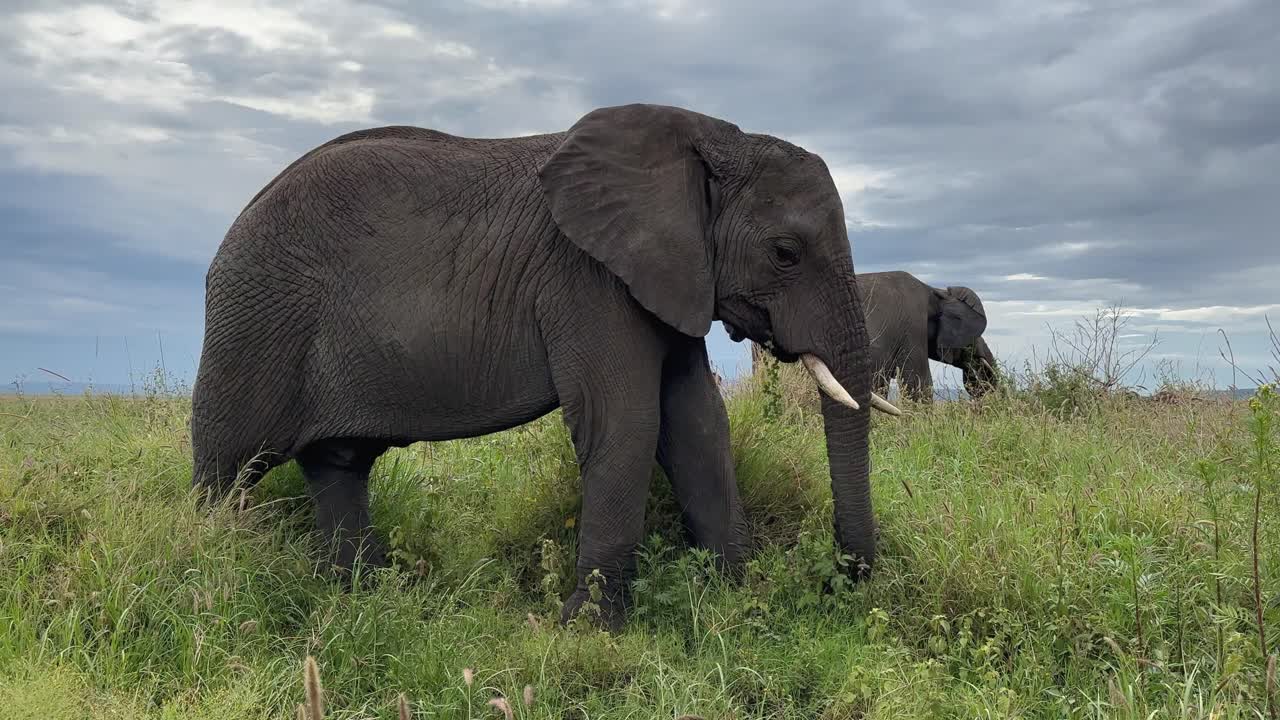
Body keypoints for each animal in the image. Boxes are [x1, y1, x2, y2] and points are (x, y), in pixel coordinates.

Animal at [190, 103, 901, 630]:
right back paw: (211, 567)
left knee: (337, 468)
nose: (844, 579)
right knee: (227, 467)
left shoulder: (667, 276)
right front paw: (588, 632)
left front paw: (735, 604)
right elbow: (628, 425)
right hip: (253, 326)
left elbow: (698, 427)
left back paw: (356, 598)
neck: (708, 139)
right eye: (785, 253)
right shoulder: (588, 279)